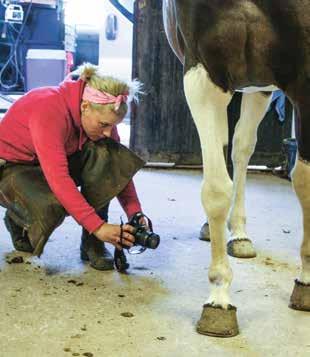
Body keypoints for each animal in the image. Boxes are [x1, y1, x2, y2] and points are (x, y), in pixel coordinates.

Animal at [162, 0, 310, 336]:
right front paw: (219, 299)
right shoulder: (204, 74)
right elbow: (217, 190)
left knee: (242, 147)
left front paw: (306, 281)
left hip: (258, 86)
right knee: (226, 145)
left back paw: (240, 234)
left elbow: (306, 183)